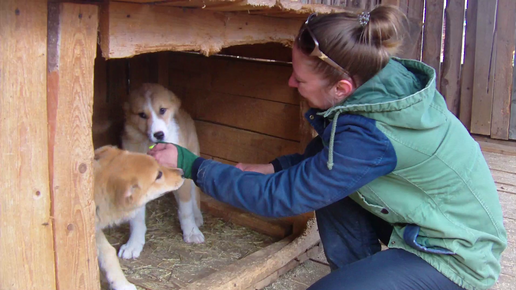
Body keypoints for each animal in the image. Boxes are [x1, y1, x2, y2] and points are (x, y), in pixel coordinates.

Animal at [120, 82, 204, 258]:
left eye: (162, 110)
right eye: (142, 115)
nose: (159, 134)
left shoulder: (182, 175)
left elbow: (186, 209)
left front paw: (191, 232)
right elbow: (136, 219)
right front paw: (133, 245)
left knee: (195, 195)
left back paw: (197, 217)